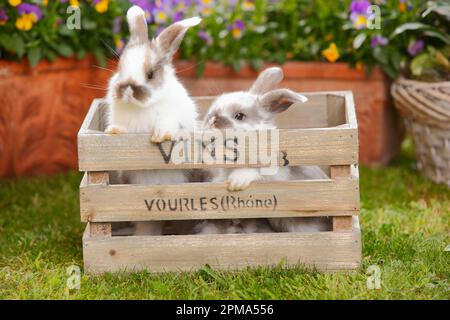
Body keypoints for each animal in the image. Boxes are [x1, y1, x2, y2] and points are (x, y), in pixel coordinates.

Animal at [105, 5, 200, 235]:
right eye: (119, 68)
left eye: (150, 74)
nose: (127, 90)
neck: (142, 107)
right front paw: (114, 131)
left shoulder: (174, 117)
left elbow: (168, 125)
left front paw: (159, 136)